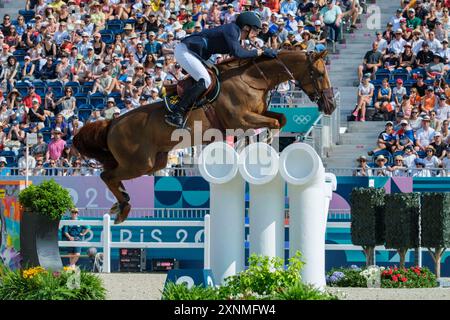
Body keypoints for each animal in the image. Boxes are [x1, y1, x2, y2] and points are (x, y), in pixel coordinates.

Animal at [74, 48, 334, 224]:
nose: (330, 106)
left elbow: (280, 119)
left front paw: (255, 146)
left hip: (154, 162)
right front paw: (259, 146)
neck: (254, 80)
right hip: (139, 163)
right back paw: (123, 208)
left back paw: (120, 205)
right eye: (319, 73)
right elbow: (273, 123)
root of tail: (113, 123)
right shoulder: (241, 119)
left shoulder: (257, 114)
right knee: (107, 175)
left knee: (112, 174)